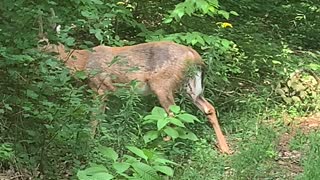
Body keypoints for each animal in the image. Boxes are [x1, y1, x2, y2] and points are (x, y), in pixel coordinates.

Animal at [38, 17, 231, 155]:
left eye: (44, 43)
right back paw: (225, 149)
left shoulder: (100, 86)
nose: (35, 55)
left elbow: (94, 118)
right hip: (190, 86)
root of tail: (194, 55)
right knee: (208, 108)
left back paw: (159, 146)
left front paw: (88, 143)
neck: (83, 62)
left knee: (173, 115)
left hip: (162, 83)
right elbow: (101, 118)